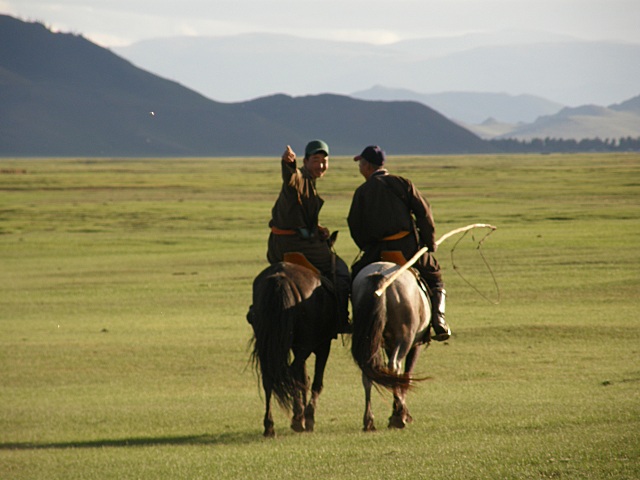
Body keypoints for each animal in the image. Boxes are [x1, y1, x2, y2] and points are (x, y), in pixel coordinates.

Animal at [246, 260, 336, 436]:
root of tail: (281, 278)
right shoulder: (323, 345)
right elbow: (315, 382)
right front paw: (308, 418)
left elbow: (304, 379)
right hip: (307, 345)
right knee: (292, 372)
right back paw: (299, 418)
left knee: (269, 377)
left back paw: (270, 426)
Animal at [350, 260, 430, 434]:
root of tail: (380, 274)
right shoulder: (416, 344)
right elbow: (406, 375)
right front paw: (402, 413)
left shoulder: (388, 344)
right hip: (405, 337)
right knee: (395, 366)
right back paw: (398, 417)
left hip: (370, 340)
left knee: (368, 372)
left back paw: (369, 421)